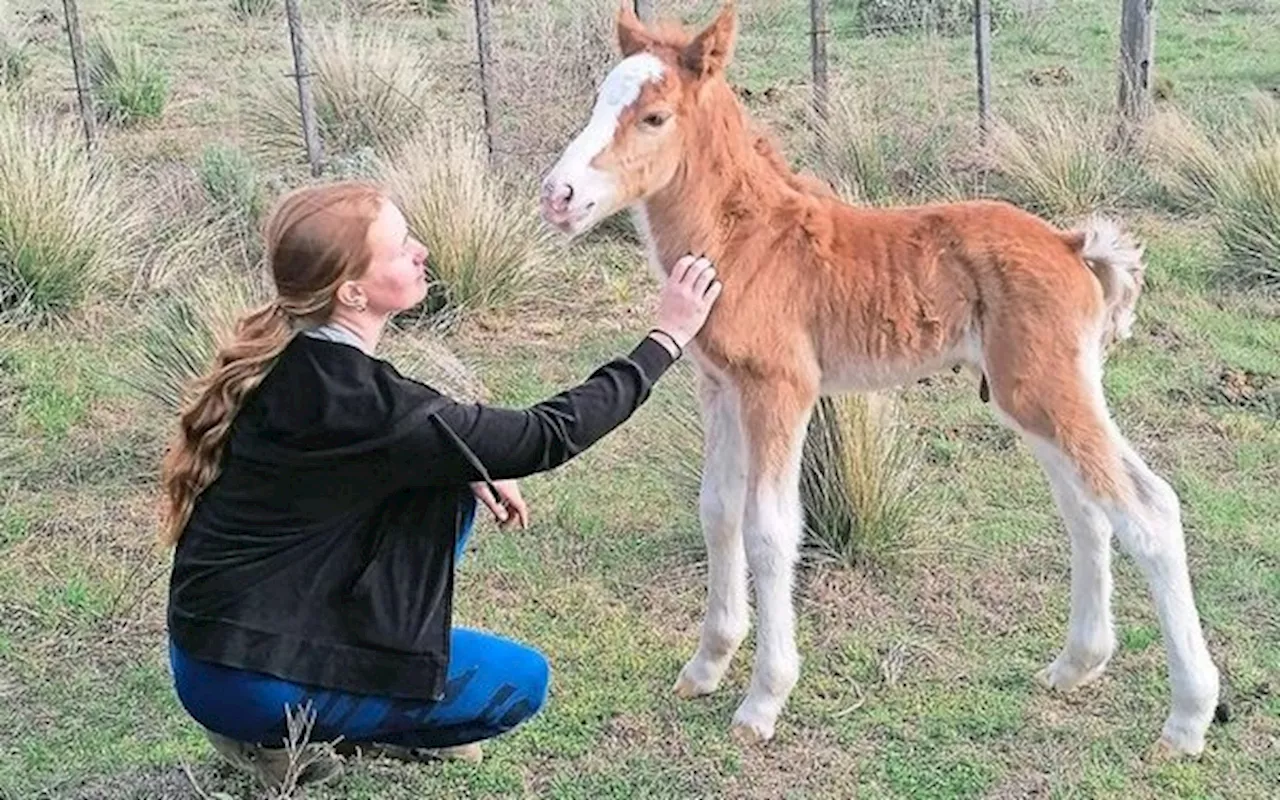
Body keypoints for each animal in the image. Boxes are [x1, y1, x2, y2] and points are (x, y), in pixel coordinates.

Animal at [537, 0, 1218, 752]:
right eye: (600, 100)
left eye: (655, 116)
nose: (558, 195)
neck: (745, 241)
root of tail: (1073, 246)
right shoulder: (720, 387)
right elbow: (718, 511)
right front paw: (707, 664)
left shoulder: (782, 390)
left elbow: (771, 529)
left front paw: (763, 700)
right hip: (1035, 395)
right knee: (1090, 511)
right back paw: (1076, 665)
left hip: (1048, 389)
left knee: (1147, 512)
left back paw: (1187, 717)